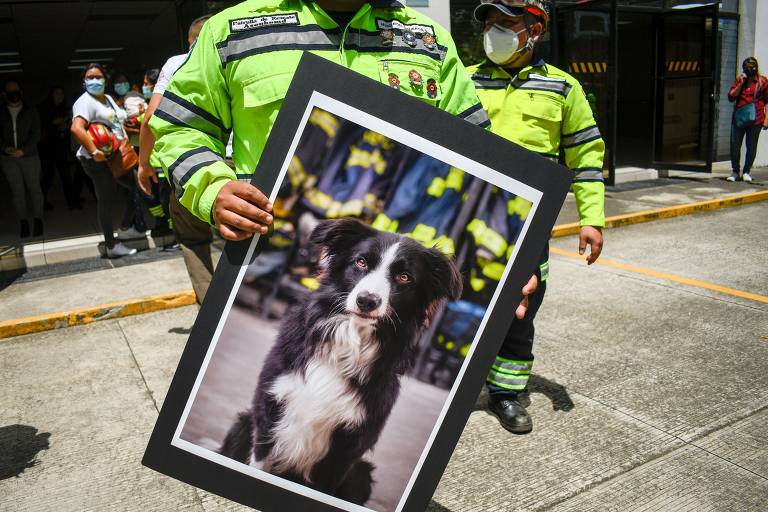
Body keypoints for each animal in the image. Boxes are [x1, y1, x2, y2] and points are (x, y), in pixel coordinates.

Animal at [222, 218, 462, 502]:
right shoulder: (269, 409)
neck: (349, 342)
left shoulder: (346, 447)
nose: (367, 300)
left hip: (361, 474)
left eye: (404, 277)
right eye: (361, 262)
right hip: (242, 425)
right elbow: (259, 459)